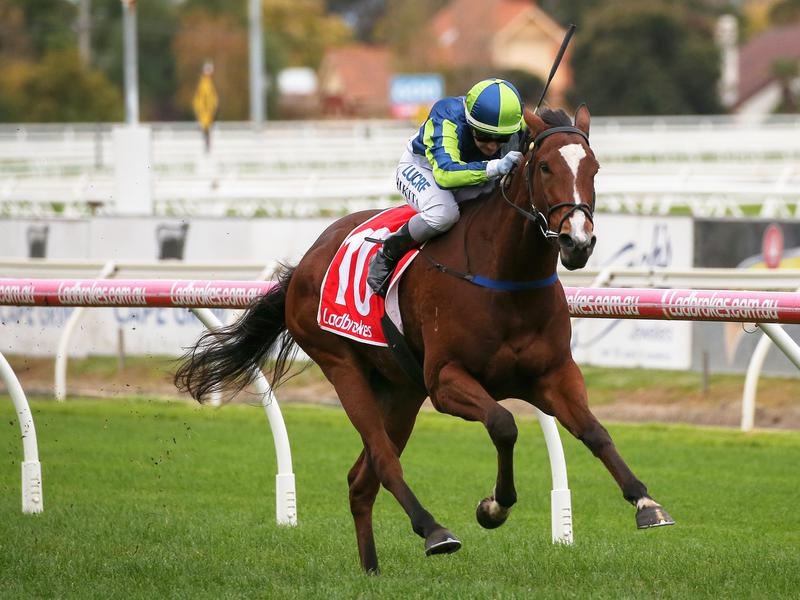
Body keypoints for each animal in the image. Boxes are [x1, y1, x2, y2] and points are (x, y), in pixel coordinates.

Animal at [175, 104, 674, 574]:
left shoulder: (552, 375)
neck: (505, 276)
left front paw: (646, 502)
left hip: (400, 391)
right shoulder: (445, 380)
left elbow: (595, 432)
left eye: (594, 168)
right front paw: (493, 507)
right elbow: (504, 424)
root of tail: (307, 259)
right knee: (383, 460)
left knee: (361, 480)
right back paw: (433, 530)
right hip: (343, 366)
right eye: (546, 166)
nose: (578, 243)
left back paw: (371, 570)